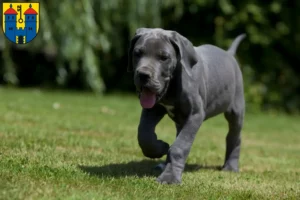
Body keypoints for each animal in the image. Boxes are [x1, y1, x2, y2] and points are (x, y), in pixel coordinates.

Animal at [126, 28, 246, 184]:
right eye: (137, 53)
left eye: (164, 57)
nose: (143, 75)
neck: (172, 86)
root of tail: (229, 54)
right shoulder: (153, 109)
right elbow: (144, 134)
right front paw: (161, 148)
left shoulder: (195, 115)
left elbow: (179, 146)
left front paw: (170, 177)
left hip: (236, 110)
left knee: (234, 136)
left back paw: (231, 166)